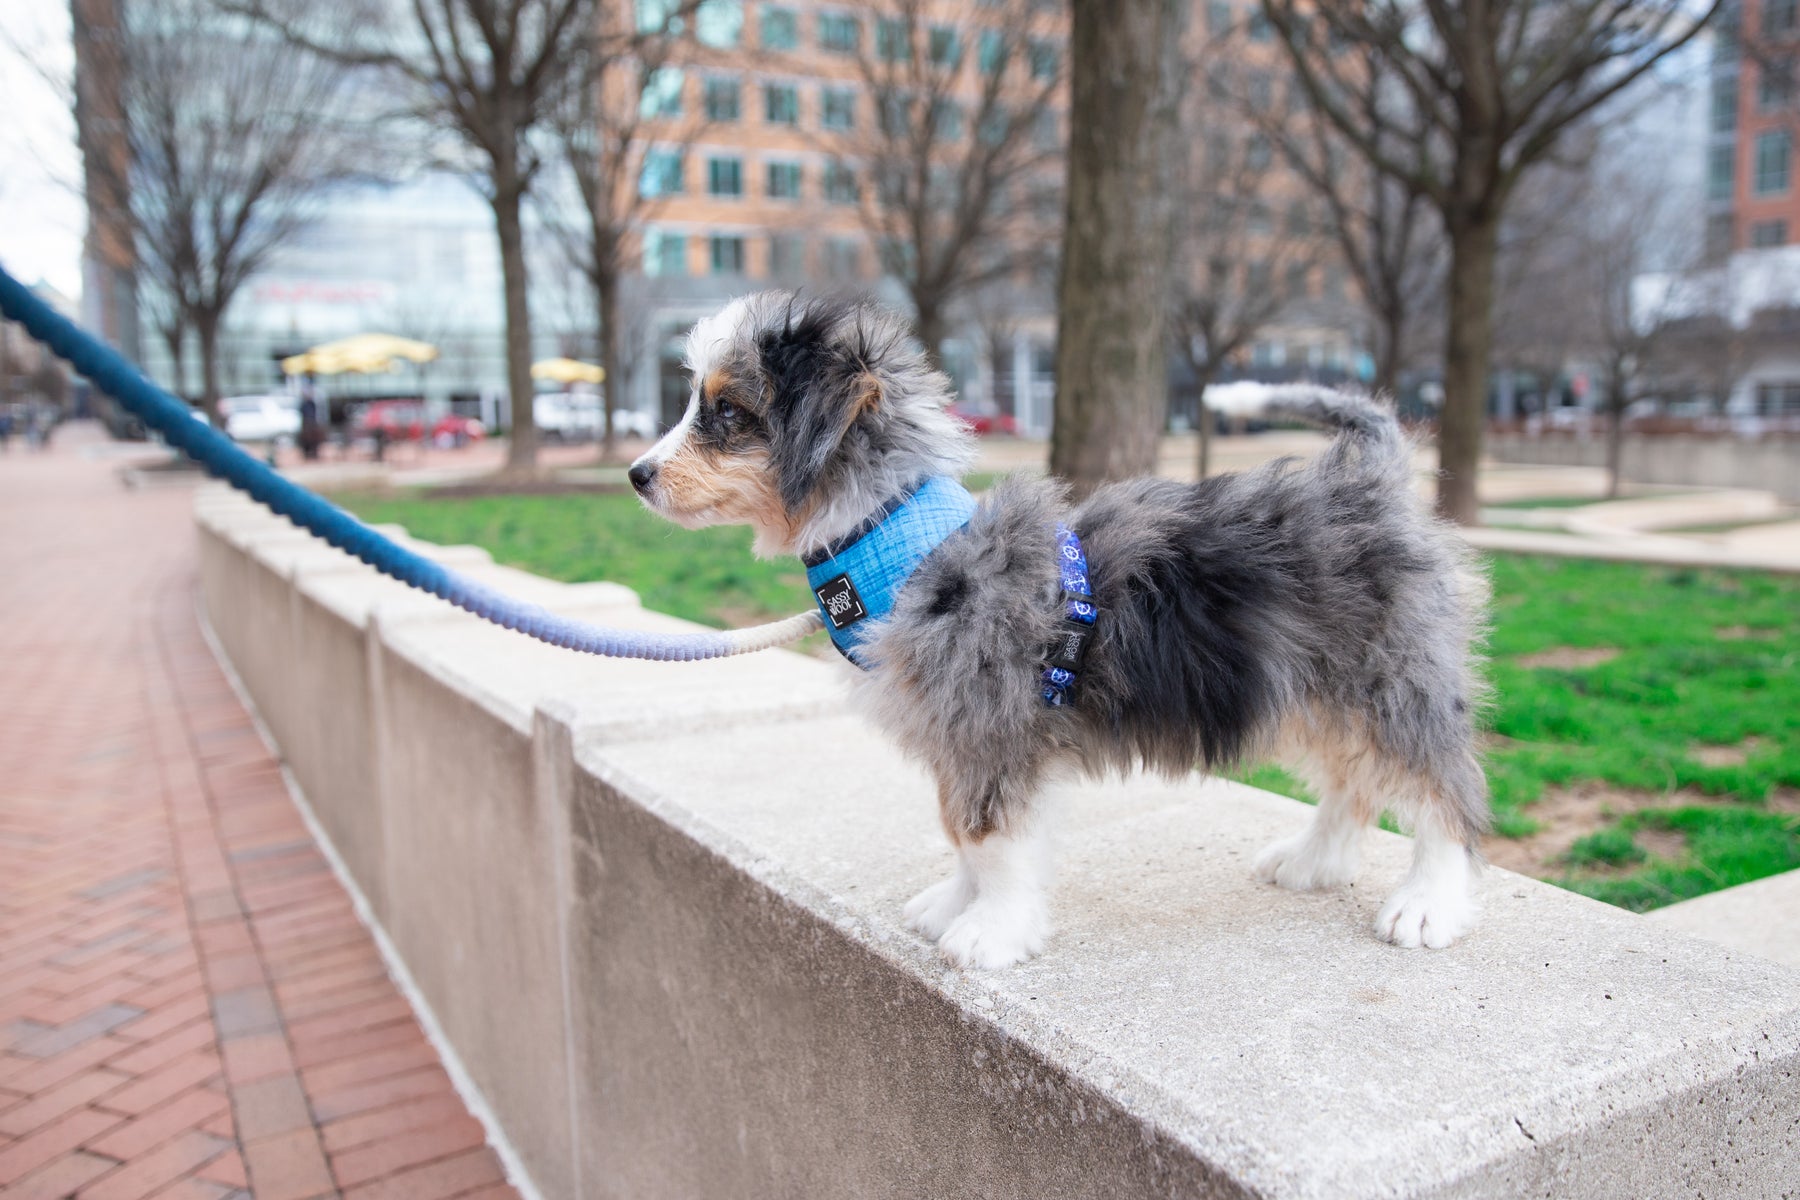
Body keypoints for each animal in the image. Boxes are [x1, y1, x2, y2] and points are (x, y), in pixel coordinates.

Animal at [633, 295, 1490, 971]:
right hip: (1316, 687)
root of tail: (1371, 479)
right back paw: (1317, 862)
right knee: (1353, 779)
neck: (896, 540)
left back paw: (1429, 902)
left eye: (728, 413)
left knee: (1442, 786)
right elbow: (959, 829)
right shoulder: (959, 737)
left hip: (1389, 678)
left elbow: (988, 835)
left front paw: (991, 931)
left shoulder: (992, 729)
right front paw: (956, 904)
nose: (638, 475)